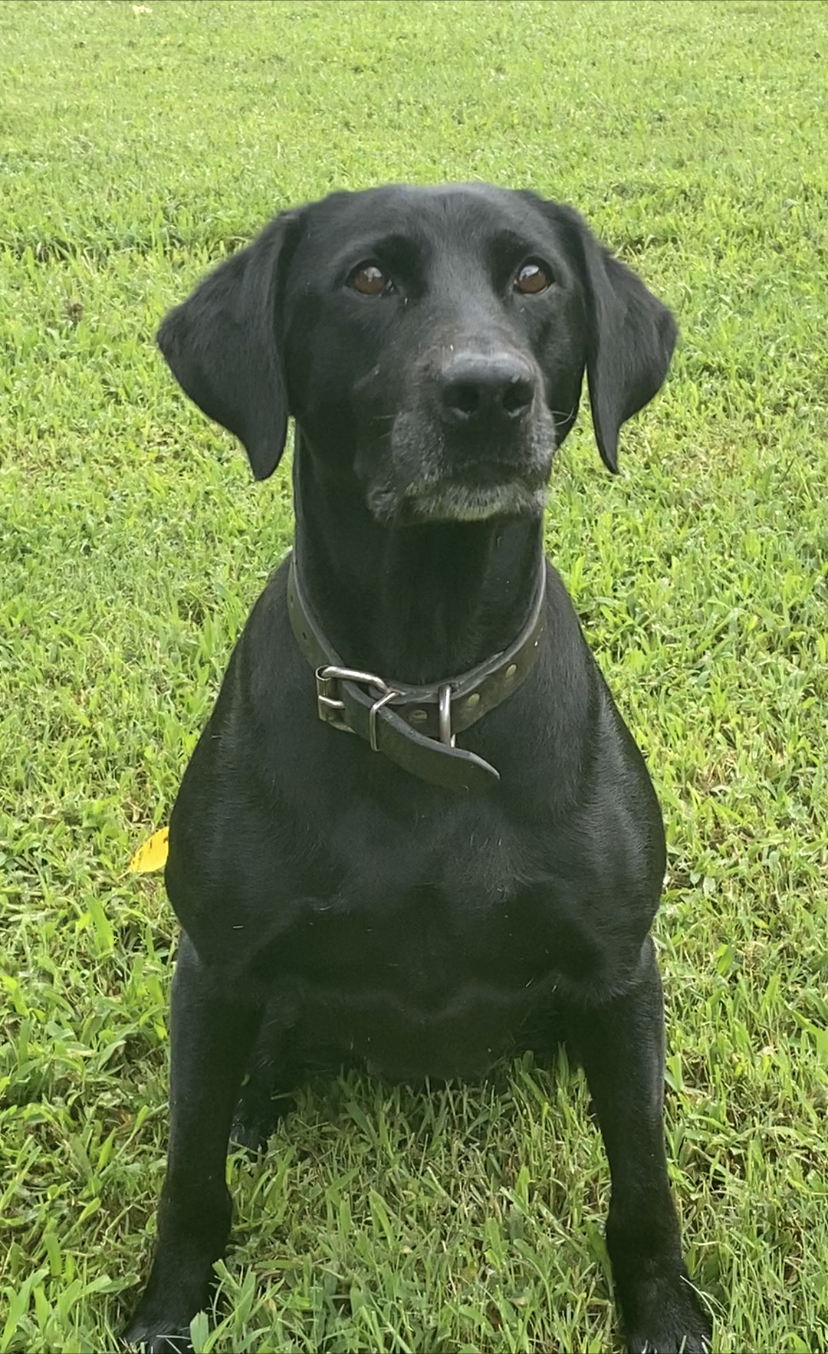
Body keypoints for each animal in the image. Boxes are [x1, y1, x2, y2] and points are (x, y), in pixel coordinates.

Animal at [125, 182, 708, 1354]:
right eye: (367, 278)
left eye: (533, 277)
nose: (488, 394)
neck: (424, 695)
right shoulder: (216, 962)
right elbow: (189, 1177)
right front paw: (170, 1308)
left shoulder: (620, 968)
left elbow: (644, 1180)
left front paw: (663, 1311)